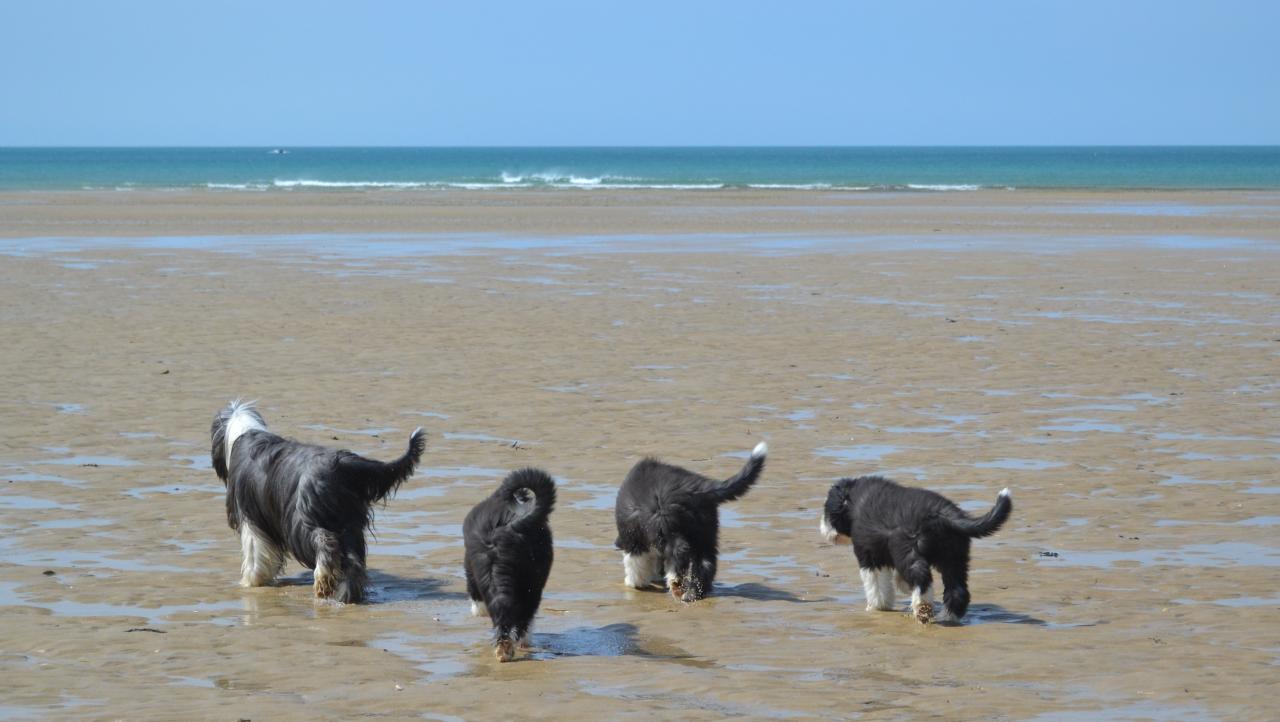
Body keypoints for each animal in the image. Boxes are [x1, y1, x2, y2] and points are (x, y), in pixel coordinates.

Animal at [209, 399, 424, 604]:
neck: (244, 431)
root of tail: (343, 463)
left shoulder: (250, 516)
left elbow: (254, 550)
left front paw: (251, 581)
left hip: (303, 518)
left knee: (325, 542)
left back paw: (323, 577)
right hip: (349, 521)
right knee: (353, 559)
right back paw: (348, 592)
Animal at [611, 442, 762, 601]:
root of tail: (697, 489)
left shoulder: (633, 537)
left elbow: (634, 561)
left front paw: (634, 582)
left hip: (667, 526)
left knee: (679, 550)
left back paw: (675, 581)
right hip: (705, 531)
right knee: (707, 561)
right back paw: (695, 593)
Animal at [819, 476, 1008, 622]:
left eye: (826, 510)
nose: (822, 529)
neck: (854, 501)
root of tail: (944, 512)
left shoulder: (868, 554)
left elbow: (875, 583)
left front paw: (876, 606)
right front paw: (900, 588)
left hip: (910, 551)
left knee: (922, 578)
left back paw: (922, 606)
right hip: (954, 556)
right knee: (958, 590)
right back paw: (947, 616)